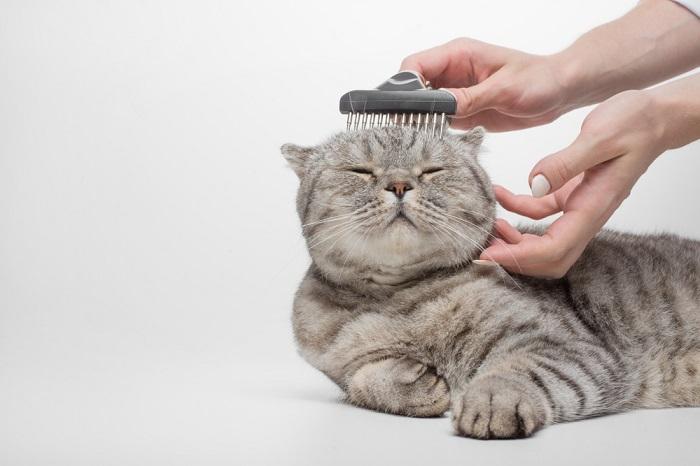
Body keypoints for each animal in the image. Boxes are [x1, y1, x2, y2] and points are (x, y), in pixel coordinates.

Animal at [280, 128, 700, 440]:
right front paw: (414, 381)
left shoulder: (566, 343)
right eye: (359, 170)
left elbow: (514, 369)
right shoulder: (336, 363)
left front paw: (490, 401)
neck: (399, 300)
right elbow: (361, 380)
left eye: (431, 170)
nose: (399, 184)